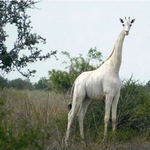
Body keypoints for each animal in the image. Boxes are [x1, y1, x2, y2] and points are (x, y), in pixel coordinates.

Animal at [65, 17, 135, 146]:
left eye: (130, 24)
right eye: (123, 24)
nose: (126, 32)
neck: (114, 68)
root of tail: (76, 80)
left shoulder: (117, 95)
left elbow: (114, 118)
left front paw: (114, 138)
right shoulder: (108, 94)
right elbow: (106, 118)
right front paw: (104, 141)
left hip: (87, 98)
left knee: (80, 116)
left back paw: (84, 141)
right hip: (78, 95)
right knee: (71, 115)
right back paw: (67, 142)